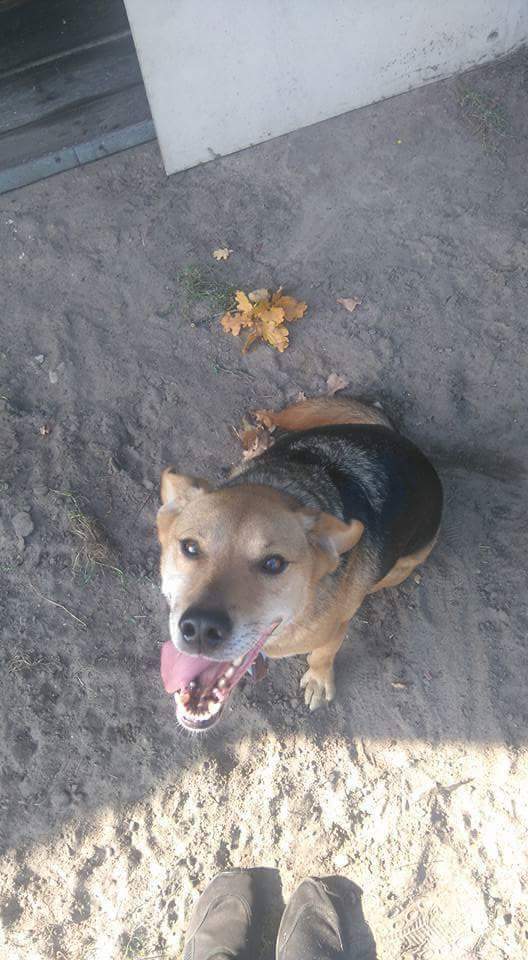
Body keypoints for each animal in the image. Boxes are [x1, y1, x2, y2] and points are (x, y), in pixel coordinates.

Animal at [157, 395, 442, 731]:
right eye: (189, 547)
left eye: (273, 564)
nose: (201, 628)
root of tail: (402, 441)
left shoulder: (335, 629)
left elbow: (322, 654)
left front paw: (319, 679)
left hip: (405, 564)